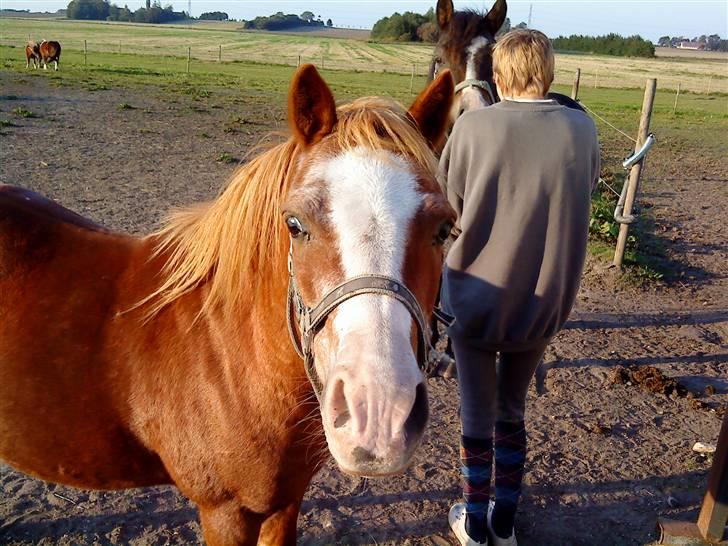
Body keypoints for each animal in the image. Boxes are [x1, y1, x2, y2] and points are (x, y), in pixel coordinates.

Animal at [0, 65, 456, 544]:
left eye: (444, 228)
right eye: (295, 224)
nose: (379, 415)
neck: (230, 358)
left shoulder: (285, 502)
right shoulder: (225, 512)